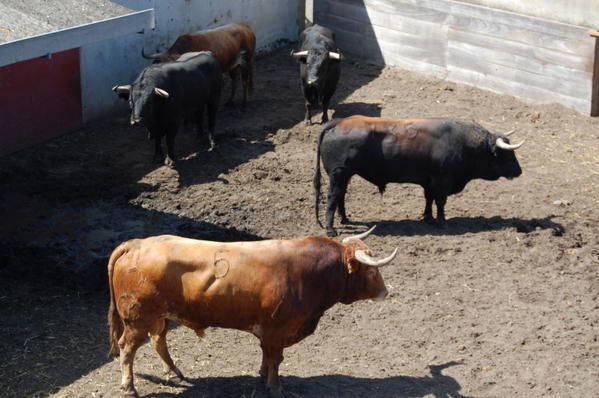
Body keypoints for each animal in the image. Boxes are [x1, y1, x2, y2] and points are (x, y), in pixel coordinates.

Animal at [108, 229, 398, 396]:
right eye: (371, 270)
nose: (386, 292)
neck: (307, 273)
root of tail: (136, 244)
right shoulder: (278, 330)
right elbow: (276, 359)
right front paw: (275, 387)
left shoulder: (268, 331)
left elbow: (267, 356)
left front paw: (262, 377)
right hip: (138, 320)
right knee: (127, 348)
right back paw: (129, 386)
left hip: (159, 317)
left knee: (159, 341)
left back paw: (174, 372)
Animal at [314, 116, 524, 236]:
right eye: (506, 154)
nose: (519, 171)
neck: (464, 143)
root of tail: (338, 122)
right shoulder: (441, 181)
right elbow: (440, 202)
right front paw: (441, 221)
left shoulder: (428, 181)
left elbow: (429, 199)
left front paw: (427, 218)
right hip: (339, 174)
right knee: (333, 197)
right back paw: (331, 229)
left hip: (345, 175)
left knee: (341, 196)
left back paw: (345, 219)